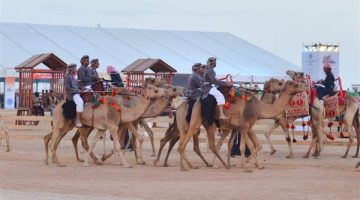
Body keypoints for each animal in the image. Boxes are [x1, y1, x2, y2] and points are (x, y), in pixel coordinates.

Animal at [152, 78, 284, 167]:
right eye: (278, 82)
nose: (282, 82)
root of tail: (178, 107)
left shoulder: (233, 127)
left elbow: (229, 144)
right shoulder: (240, 126)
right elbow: (243, 144)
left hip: (190, 127)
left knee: (179, 143)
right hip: (188, 126)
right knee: (170, 141)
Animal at [176, 80, 304, 171]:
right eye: (294, 84)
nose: (304, 85)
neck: (258, 107)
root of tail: (196, 101)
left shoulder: (243, 127)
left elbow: (255, 145)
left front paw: (257, 165)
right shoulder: (245, 126)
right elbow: (246, 146)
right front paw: (246, 166)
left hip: (203, 124)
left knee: (201, 144)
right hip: (202, 122)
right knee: (203, 144)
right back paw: (188, 167)